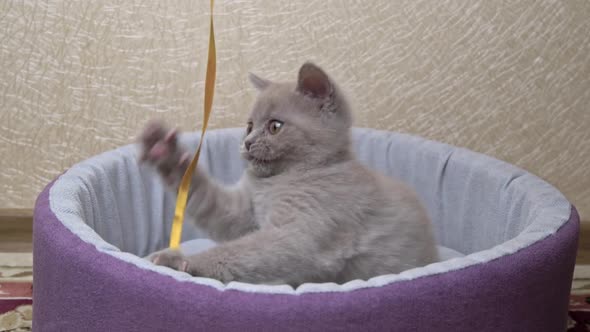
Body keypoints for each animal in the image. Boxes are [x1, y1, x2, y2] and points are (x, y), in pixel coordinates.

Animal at [141, 63, 440, 286]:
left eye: (275, 126)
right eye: (249, 125)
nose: (247, 142)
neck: (277, 182)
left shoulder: (297, 235)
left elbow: (238, 253)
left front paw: (180, 261)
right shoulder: (242, 215)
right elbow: (206, 200)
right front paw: (164, 151)